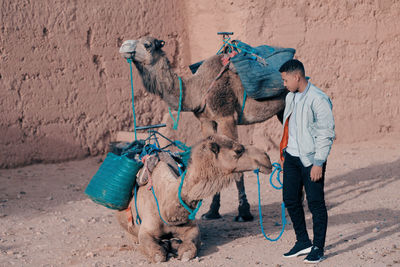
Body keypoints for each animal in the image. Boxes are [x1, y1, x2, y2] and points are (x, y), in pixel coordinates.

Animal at [115, 135, 272, 262]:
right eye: (238, 150)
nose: (267, 158)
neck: (166, 200)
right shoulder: (146, 231)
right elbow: (158, 255)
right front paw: (165, 246)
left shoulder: (192, 228)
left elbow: (189, 250)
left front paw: (176, 245)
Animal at [120, 36, 286, 223]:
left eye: (147, 44)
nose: (124, 46)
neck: (197, 90)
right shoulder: (206, 121)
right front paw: (212, 211)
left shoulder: (226, 117)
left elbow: (237, 169)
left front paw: (244, 212)